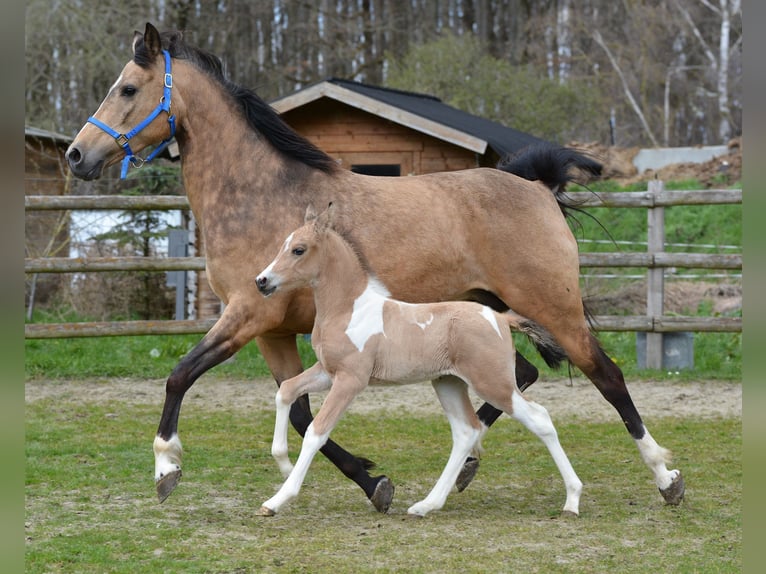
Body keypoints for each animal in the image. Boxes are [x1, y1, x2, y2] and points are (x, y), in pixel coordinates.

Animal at [254, 203, 583, 517]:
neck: (347, 309)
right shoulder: (327, 371)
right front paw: (283, 463)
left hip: (493, 383)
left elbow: (316, 432)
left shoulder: (351, 380)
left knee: (539, 419)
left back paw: (572, 500)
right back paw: (425, 505)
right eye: (283, 245)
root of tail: (500, 318)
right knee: (466, 431)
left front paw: (277, 500)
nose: (261, 281)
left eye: (299, 249)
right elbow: (286, 391)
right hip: (448, 382)